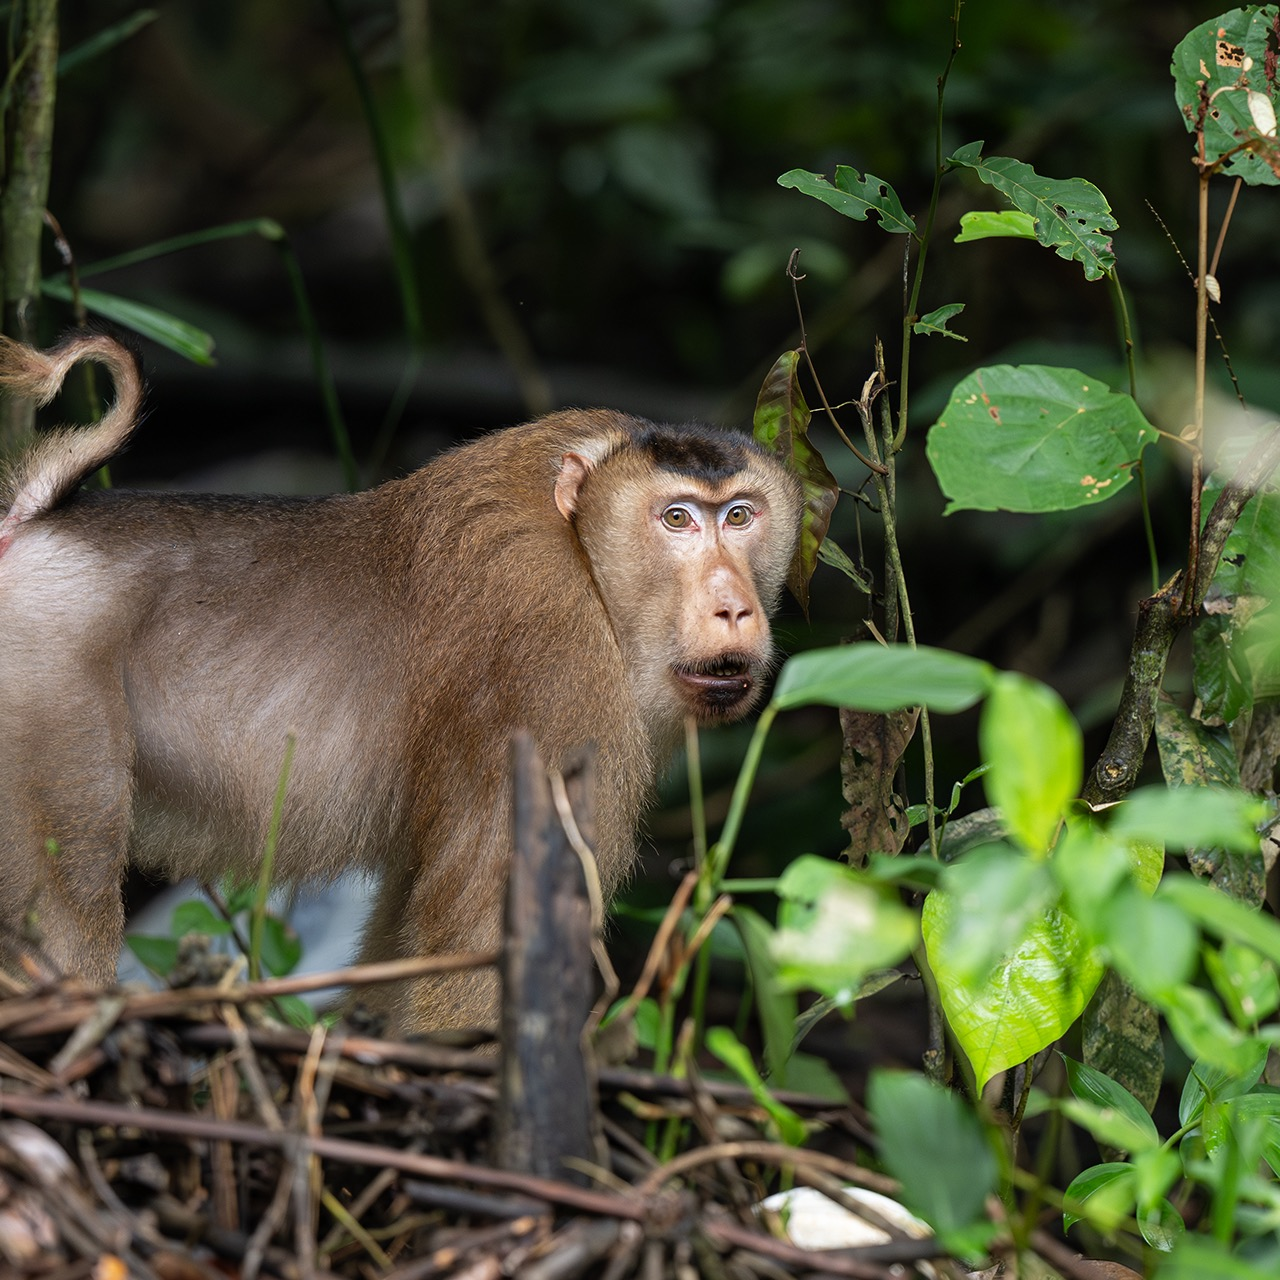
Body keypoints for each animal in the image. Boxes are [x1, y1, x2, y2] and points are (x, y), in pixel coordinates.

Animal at [0, 332, 803, 1032]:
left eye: (739, 516)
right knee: (69, 900)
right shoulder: (554, 676)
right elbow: (484, 944)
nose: (733, 607)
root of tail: (32, 526)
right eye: (678, 519)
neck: (584, 552)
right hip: (50, 683)